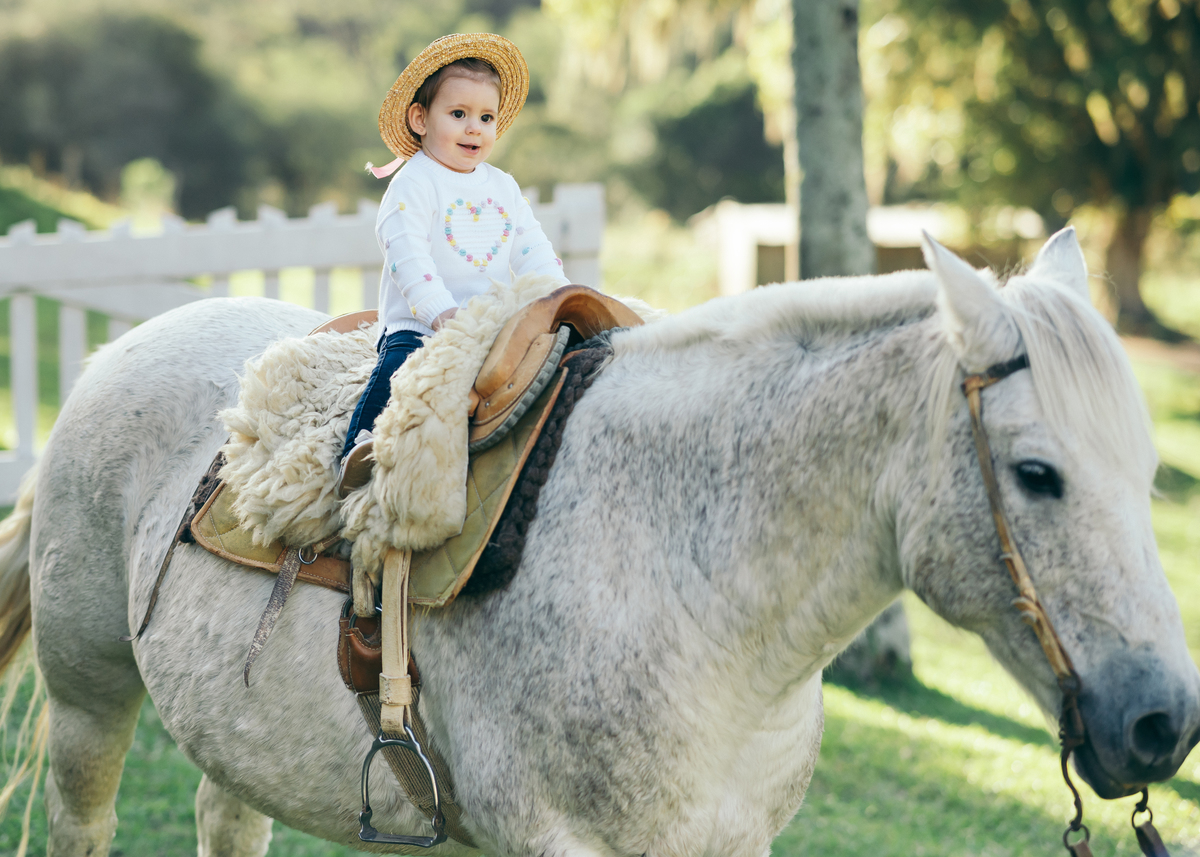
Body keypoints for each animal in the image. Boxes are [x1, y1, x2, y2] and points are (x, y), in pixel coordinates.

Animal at [0, 229, 1196, 856]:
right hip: (90, 697)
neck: (688, 585)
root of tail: (118, 350)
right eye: (1037, 473)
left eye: (1146, 473)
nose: (1161, 722)